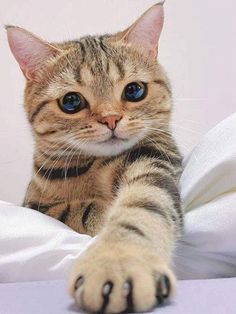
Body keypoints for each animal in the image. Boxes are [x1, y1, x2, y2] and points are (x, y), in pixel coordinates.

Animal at [6, 3, 183, 314]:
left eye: (134, 90)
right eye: (71, 101)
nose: (111, 119)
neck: (94, 167)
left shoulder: (156, 159)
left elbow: (142, 206)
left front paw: (119, 258)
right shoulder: (34, 205)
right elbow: (77, 210)